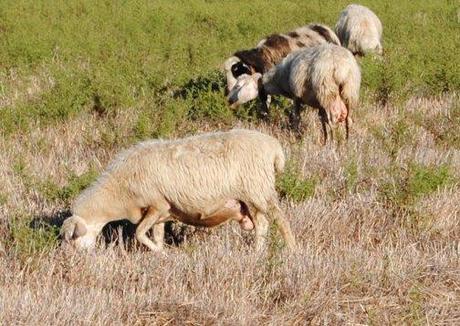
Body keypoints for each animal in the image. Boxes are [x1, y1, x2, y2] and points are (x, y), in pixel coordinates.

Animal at [61, 130, 294, 252]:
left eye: (71, 240)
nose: (72, 261)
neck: (118, 192)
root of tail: (273, 146)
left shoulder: (156, 204)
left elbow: (139, 233)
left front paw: (161, 253)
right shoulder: (161, 214)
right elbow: (155, 235)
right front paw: (160, 252)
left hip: (257, 191)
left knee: (276, 221)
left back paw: (285, 251)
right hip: (249, 199)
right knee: (263, 223)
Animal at [228, 43, 362, 144]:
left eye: (238, 85)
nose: (229, 100)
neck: (277, 79)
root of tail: (340, 66)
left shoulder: (296, 96)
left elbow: (296, 118)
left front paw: (298, 139)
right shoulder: (319, 103)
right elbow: (322, 120)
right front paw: (324, 141)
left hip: (327, 91)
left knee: (333, 119)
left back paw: (333, 145)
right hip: (349, 91)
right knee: (348, 119)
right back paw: (347, 143)